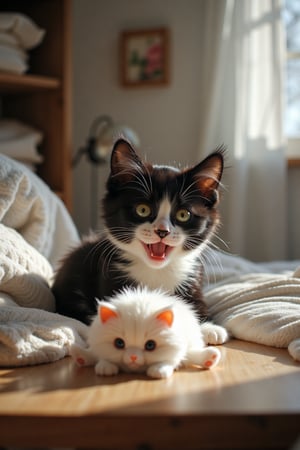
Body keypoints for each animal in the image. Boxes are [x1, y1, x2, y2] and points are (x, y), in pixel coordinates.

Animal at [52, 139, 225, 328]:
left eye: (183, 214)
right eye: (143, 209)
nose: (162, 231)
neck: (155, 271)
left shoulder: (193, 280)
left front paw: (209, 327)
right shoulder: (110, 276)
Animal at [69, 286, 225, 378]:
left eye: (150, 345)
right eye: (119, 343)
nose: (133, 357)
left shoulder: (176, 350)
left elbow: (169, 361)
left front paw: (158, 371)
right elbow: (102, 356)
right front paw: (105, 367)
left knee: (191, 355)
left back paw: (210, 358)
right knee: (91, 353)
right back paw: (79, 355)